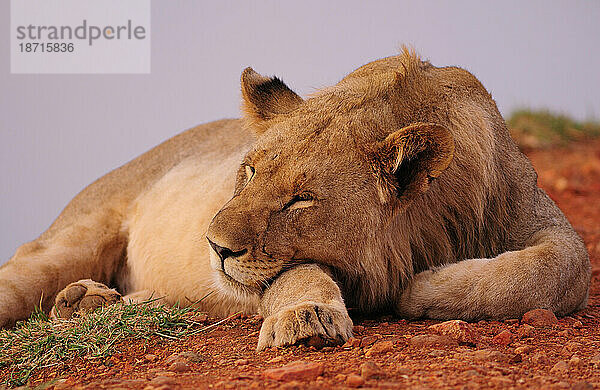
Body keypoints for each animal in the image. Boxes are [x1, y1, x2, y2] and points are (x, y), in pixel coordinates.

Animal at [0, 48, 592, 350]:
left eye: (300, 201)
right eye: (248, 171)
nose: (213, 246)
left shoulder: (541, 217)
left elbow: (555, 268)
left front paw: (427, 287)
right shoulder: (275, 270)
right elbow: (298, 277)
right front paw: (309, 317)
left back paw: (90, 303)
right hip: (66, 242)